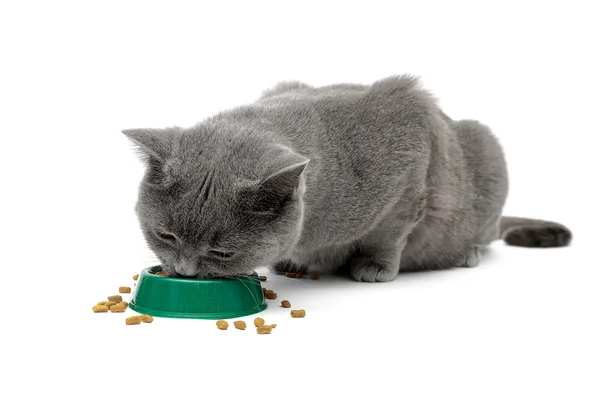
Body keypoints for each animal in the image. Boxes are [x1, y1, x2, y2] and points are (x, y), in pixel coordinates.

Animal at [122, 75, 572, 282]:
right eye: (165, 236)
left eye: (221, 253)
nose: (184, 272)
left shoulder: (410, 175)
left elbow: (389, 233)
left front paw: (374, 267)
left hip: (485, 143)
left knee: (485, 232)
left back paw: (468, 253)